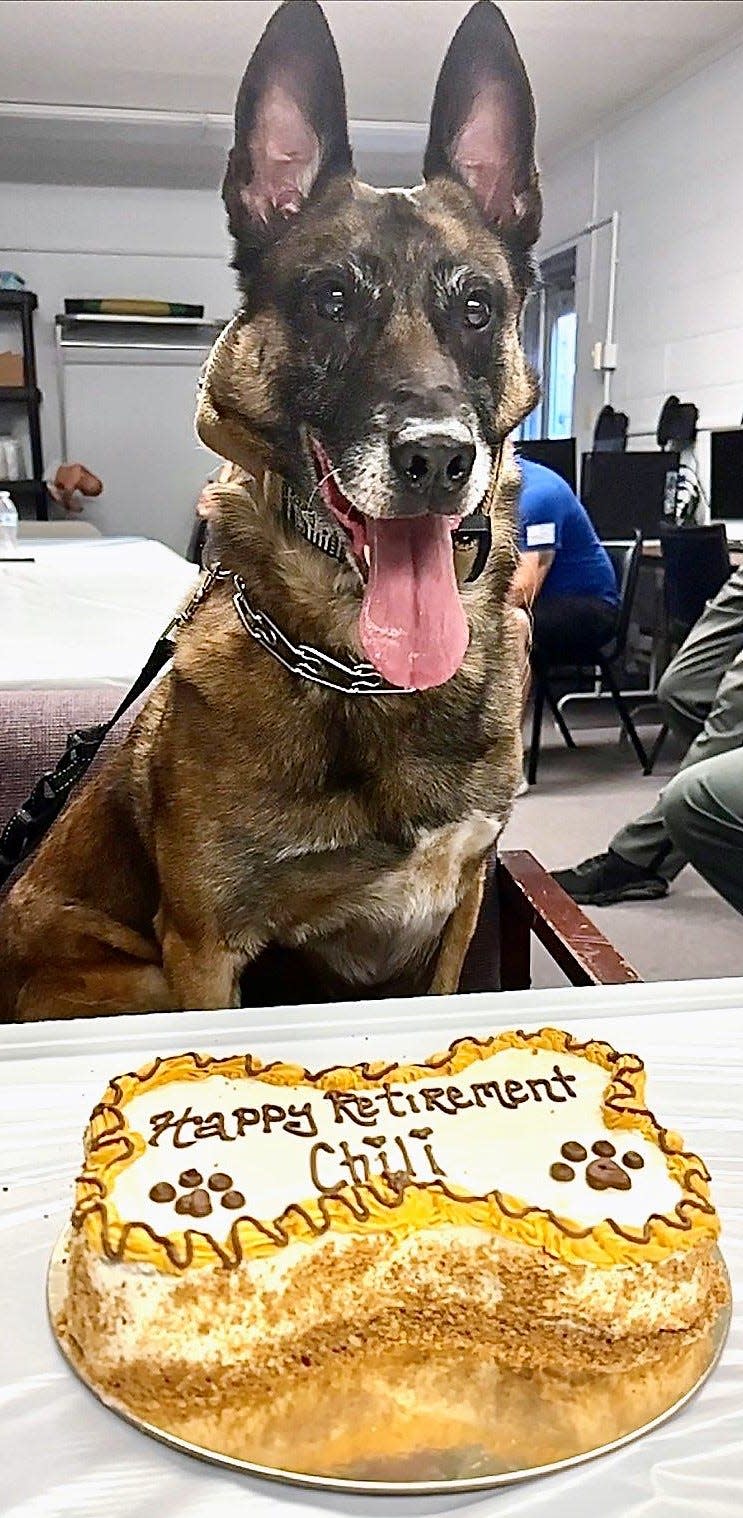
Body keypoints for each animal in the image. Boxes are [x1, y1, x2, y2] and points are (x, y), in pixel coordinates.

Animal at [0, 2, 537, 1020]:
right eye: (330, 299)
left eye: (478, 308)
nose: (438, 459)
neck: (361, 675)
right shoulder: (204, 952)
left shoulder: (460, 908)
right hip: (138, 975)